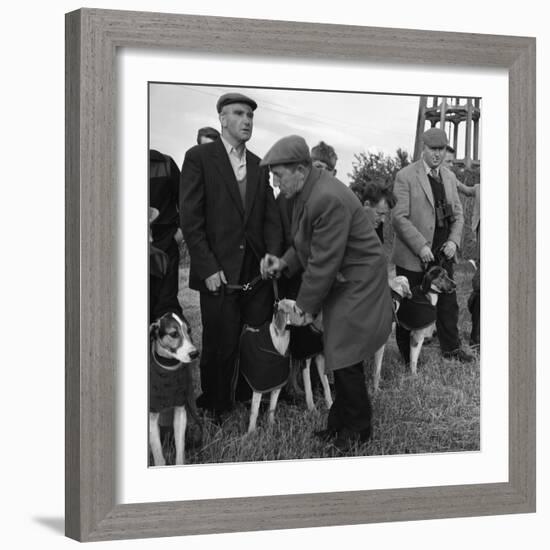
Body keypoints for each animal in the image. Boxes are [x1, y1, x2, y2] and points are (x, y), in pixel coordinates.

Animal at [150, 314, 202, 466]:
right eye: (173, 334)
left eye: (189, 330)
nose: (195, 353)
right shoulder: (151, 418)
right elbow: (158, 456)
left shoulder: (180, 411)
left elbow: (180, 449)